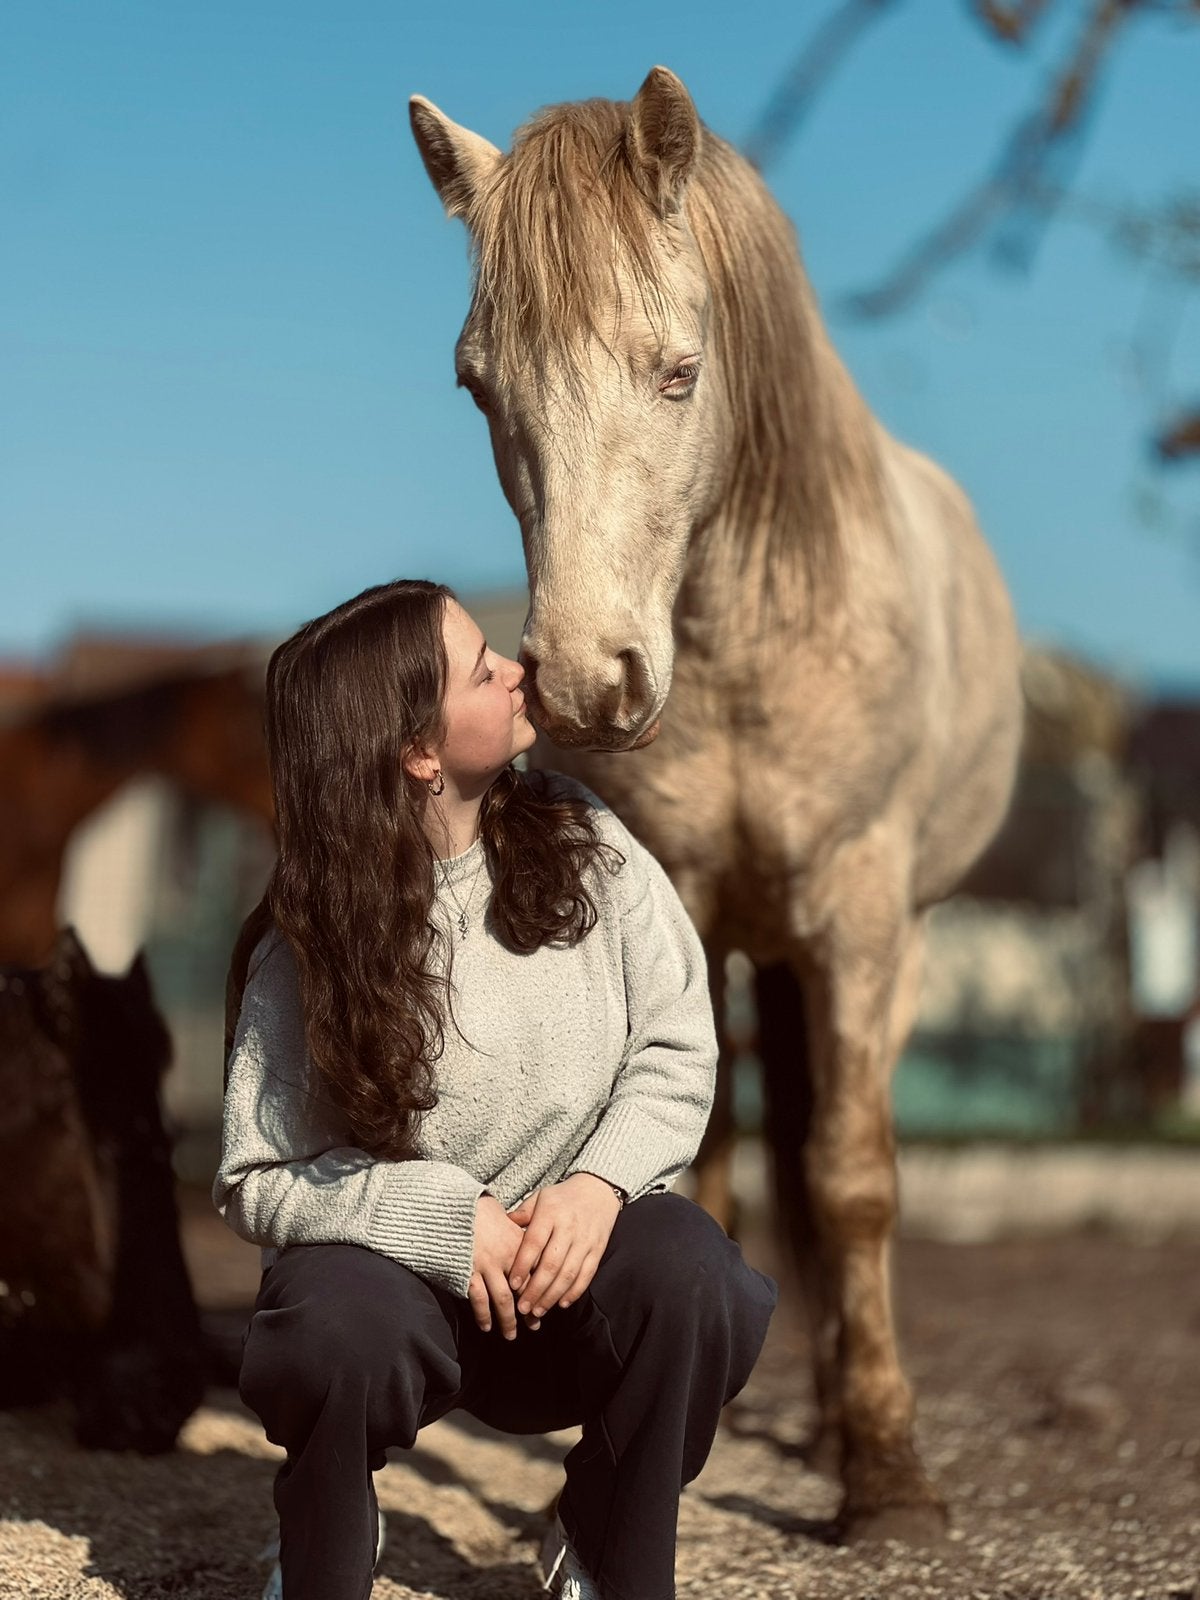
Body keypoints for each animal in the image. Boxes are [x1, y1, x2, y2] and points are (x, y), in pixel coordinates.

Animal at [410, 66, 1023, 1540]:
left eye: (678, 370)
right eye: (478, 385)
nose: (584, 679)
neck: (755, 637)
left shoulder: (862, 915)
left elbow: (851, 1179)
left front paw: (888, 1471)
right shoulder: (672, 904)